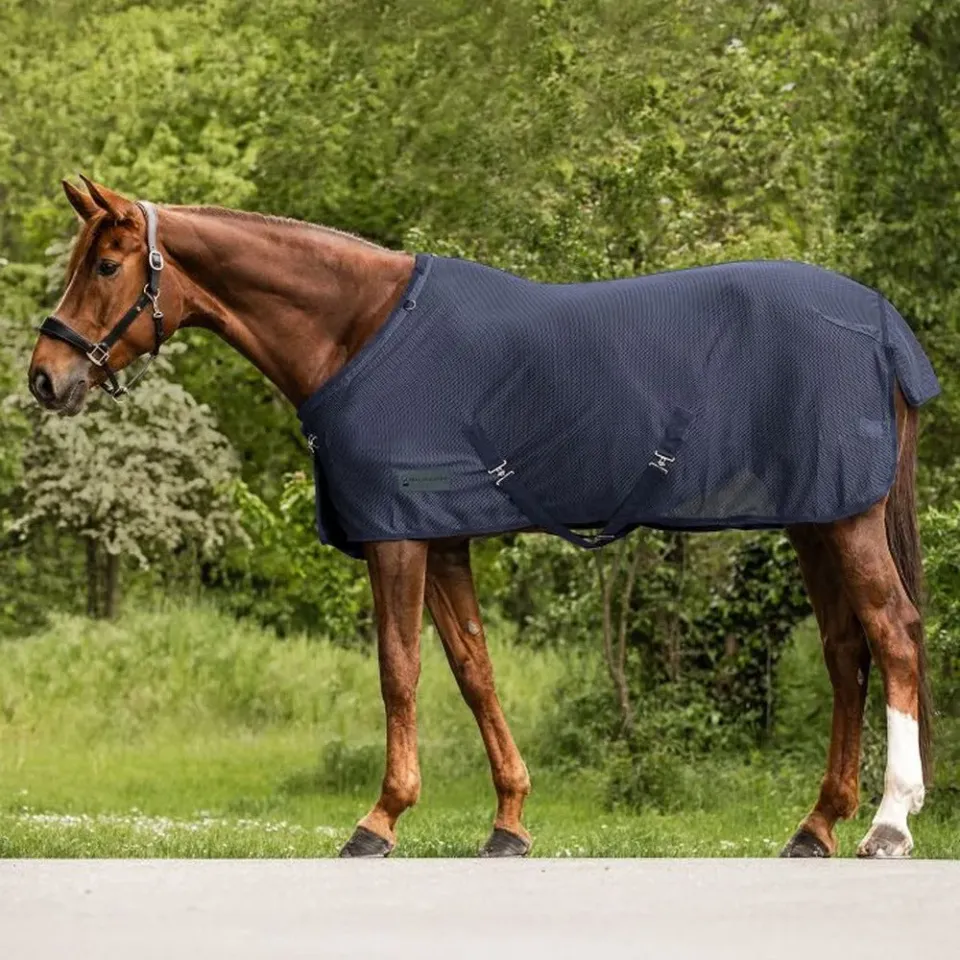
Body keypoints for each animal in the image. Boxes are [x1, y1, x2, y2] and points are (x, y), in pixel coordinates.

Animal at [28, 176, 938, 860]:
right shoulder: (444, 540)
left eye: (106, 264)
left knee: (892, 632)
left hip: (847, 521)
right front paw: (508, 821)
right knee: (846, 650)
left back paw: (889, 822)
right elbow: (474, 669)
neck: (359, 331)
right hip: (817, 520)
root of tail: (882, 324)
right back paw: (816, 827)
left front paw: (380, 820)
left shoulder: (397, 537)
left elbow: (399, 670)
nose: (44, 376)